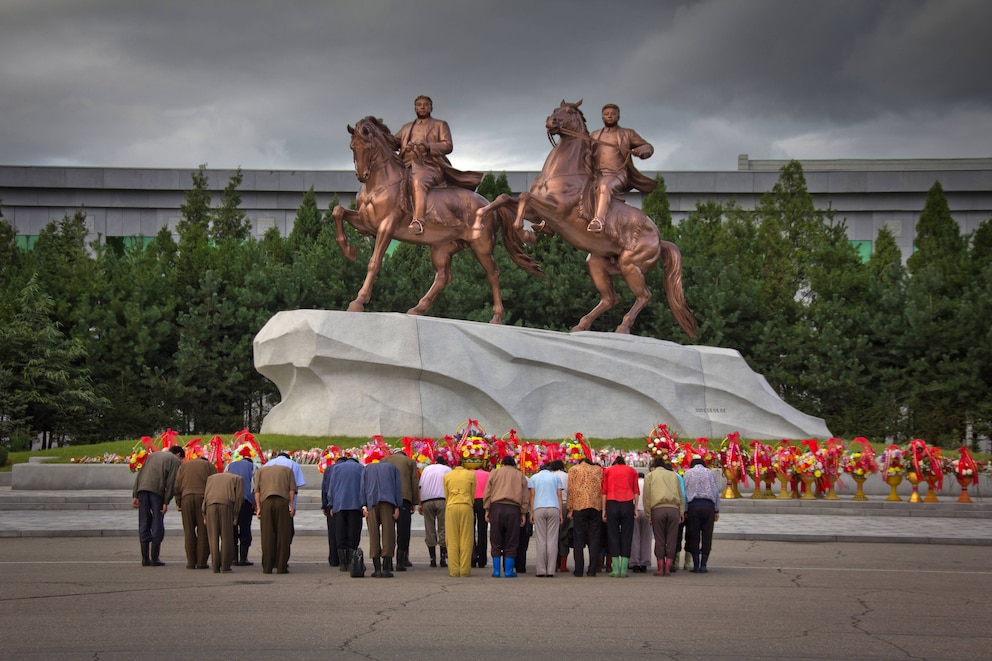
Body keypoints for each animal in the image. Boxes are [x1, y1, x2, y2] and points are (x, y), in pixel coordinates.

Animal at [334, 116, 544, 322]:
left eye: (368, 146)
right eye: (352, 147)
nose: (362, 175)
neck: (378, 185)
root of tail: (488, 204)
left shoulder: (386, 225)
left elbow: (374, 261)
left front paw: (358, 301)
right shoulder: (366, 222)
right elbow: (338, 211)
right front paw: (349, 251)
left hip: (481, 246)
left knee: (493, 274)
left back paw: (497, 317)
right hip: (442, 247)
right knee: (443, 276)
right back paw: (418, 308)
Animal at [474, 100, 696, 338]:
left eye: (569, 111)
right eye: (555, 110)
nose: (550, 121)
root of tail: (660, 240)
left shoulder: (557, 209)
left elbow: (524, 197)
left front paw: (526, 235)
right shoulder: (538, 210)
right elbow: (506, 197)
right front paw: (478, 221)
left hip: (630, 265)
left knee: (644, 295)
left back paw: (622, 327)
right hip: (598, 263)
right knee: (611, 298)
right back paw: (581, 325)